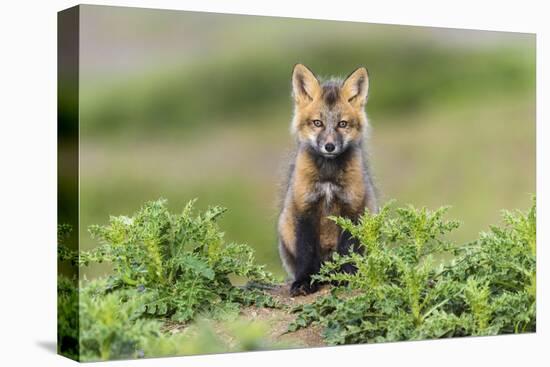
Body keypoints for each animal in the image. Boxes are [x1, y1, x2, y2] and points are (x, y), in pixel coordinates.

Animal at [280, 64, 380, 298]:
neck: (328, 177)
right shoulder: (305, 209)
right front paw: (304, 281)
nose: (329, 146)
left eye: (342, 124)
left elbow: (347, 250)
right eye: (318, 123)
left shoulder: (352, 209)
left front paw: (346, 278)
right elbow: (306, 252)